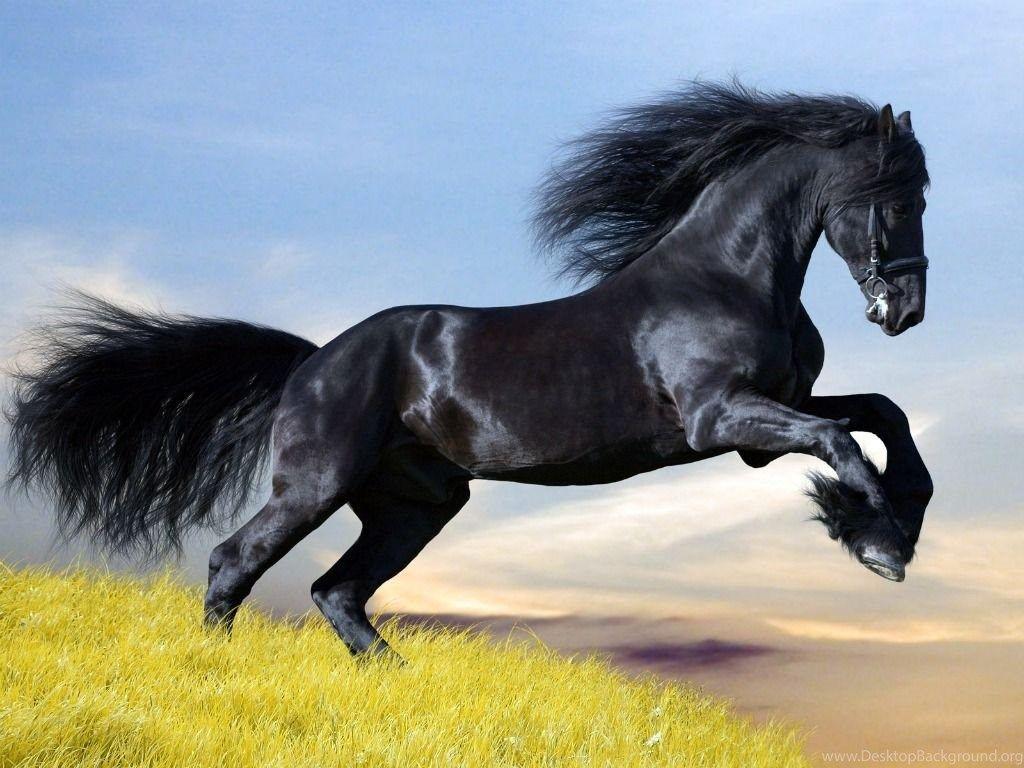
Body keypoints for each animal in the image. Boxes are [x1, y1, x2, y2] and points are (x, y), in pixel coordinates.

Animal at [6, 82, 933, 658]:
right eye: (896, 198)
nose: (906, 311)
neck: (726, 276)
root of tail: (313, 362)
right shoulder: (721, 420)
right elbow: (841, 442)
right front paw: (876, 540)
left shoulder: (767, 418)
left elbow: (882, 414)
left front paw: (891, 523)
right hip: (317, 483)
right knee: (235, 562)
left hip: (414, 505)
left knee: (337, 591)